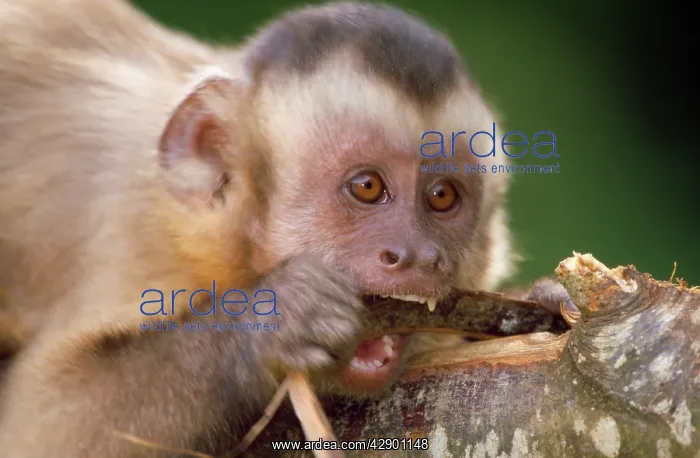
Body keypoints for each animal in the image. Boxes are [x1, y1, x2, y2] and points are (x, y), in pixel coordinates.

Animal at [0, 0, 575, 456]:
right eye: (367, 187)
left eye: (442, 197)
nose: (418, 255)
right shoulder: (139, 235)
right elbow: (40, 432)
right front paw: (276, 318)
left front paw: (538, 301)